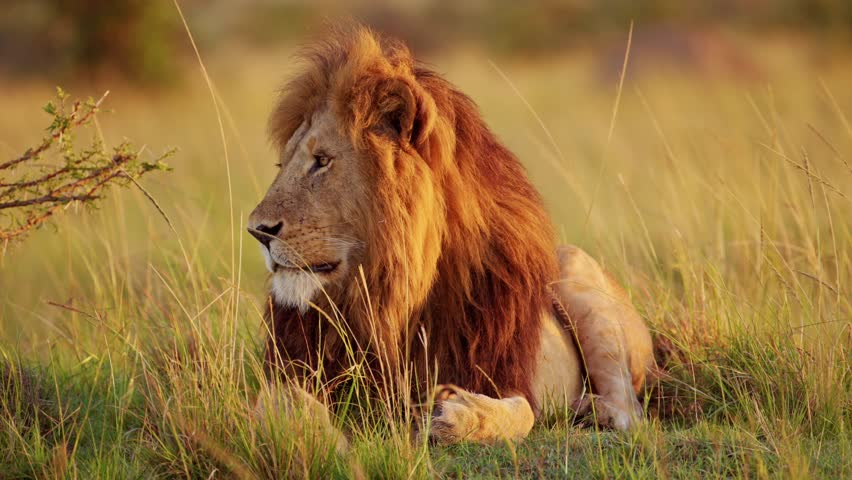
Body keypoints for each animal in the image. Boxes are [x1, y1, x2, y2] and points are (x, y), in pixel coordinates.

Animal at [247, 25, 654, 445]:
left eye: (322, 161)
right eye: (282, 164)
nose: (258, 231)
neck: (386, 296)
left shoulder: (499, 370)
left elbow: (522, 413)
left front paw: (455, 415)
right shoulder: (294, 367)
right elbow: (278, 406)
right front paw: (318, 440)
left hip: (575, 272)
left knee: (631, 409)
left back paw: (593, 409)